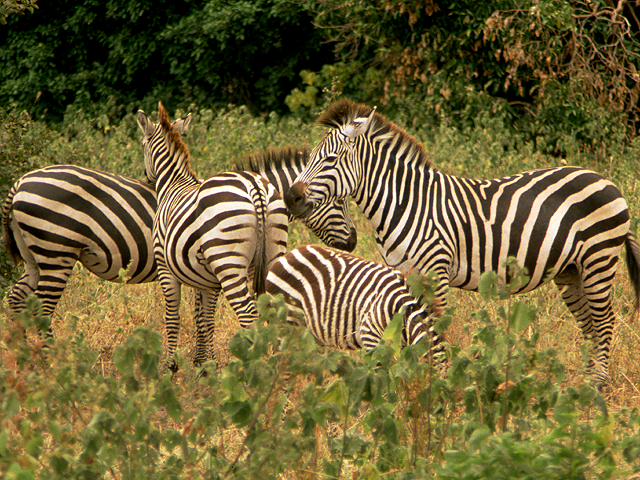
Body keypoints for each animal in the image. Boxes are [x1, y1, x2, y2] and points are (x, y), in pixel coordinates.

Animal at [138, 103, 290, 370]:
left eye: (142, 144)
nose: (145, 176)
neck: (173, 184)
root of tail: (256, 187)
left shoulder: (165, 267)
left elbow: (173, 316)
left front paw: (171, 365)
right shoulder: (208, 279)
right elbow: (206, 318)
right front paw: (206, 365)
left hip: (228, 262)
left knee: (248, 313)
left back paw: (252, 365)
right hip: (272, 252)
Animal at [288, 99, 640, 388]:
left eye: (330, 159)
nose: (291, 196)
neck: (404, 202)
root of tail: (607, 181)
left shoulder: (435, 272)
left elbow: (434, 328)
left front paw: (438, 382)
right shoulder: (403, 275)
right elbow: (405, 323)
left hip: (598, 259)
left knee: (604, 320)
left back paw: (598, 384)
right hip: (570, 270)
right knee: (588, 323)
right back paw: (585, 381)